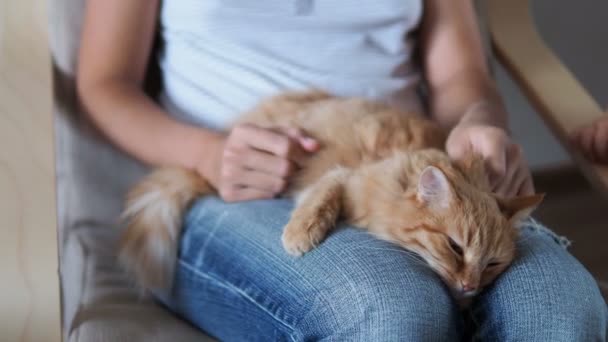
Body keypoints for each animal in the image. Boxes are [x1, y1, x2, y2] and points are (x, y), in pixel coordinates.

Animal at [119, 90, 540, 300]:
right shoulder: (343, 177)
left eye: (492, 264)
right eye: (454, 247)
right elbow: (321, 196)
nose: (470, 287)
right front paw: (300, 234)